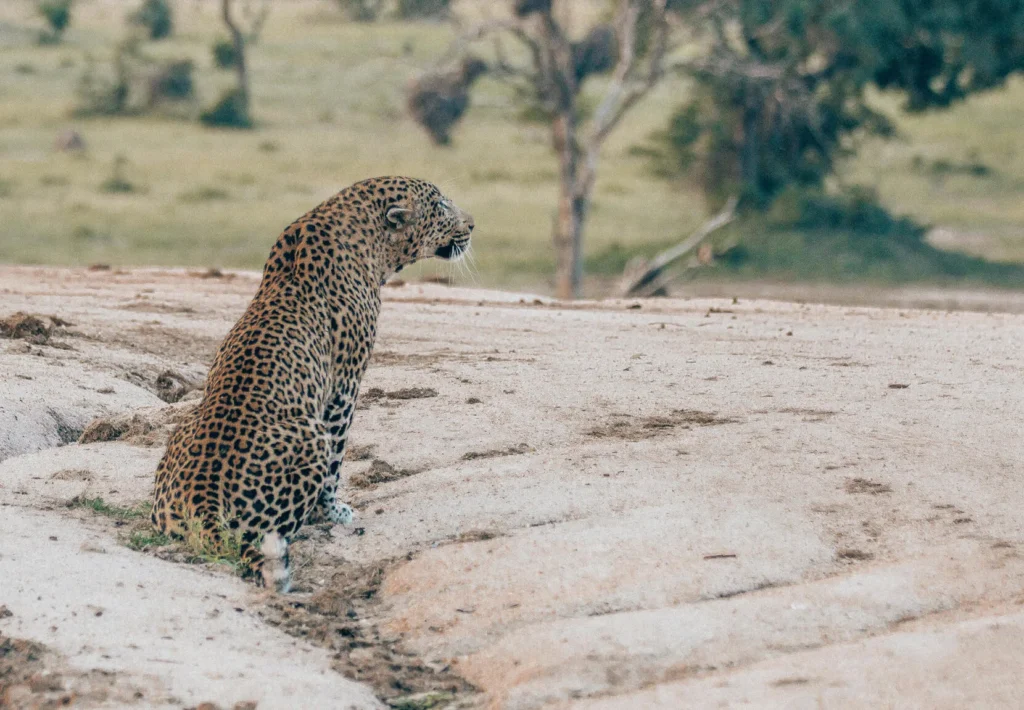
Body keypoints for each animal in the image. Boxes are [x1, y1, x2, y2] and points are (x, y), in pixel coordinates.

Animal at [151, 176, 474, 592]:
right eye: (443, 207)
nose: (473, 225)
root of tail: (202, 504)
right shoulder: (345, 384)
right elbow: (338, 455)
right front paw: (334, 510)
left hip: (182, 427)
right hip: (309, 435)